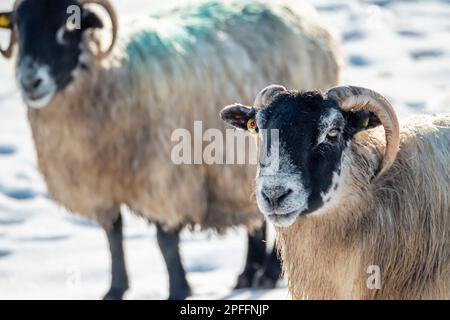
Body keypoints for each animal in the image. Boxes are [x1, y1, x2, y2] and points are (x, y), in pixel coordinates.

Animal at [0, 0, 342, 300]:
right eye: (17, 25)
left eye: (67, 27)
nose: (30, 81)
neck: (114, 78)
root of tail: (303, 14)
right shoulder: (102, 185)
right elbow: (113, 234)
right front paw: (115, 289)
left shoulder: (163, 176)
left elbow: (165, 240)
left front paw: (178, 289)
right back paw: (250, 273)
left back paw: (265, 272)